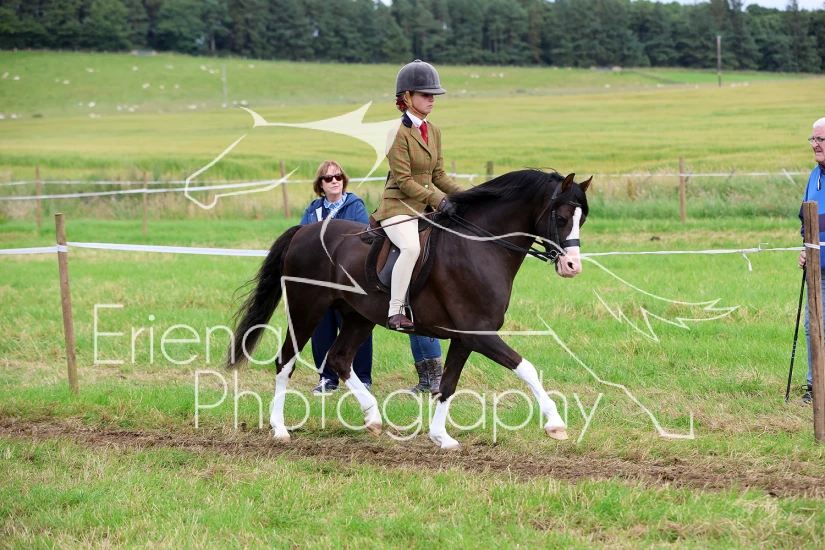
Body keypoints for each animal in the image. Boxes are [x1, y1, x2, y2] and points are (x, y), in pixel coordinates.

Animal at [228, 169, 591, 449]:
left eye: (582, 219)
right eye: (561, 217)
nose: (572, 266)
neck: (479, 246)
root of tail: (304, 230)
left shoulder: (464, 337)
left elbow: (447, 385)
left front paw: (441, 437)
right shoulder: (479, 333)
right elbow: (526, 368)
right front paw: (556, 424)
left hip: (359, 317)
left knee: (340, 358)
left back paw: (373, 418)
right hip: (307, 309)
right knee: (285, 361)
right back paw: (279, 429)